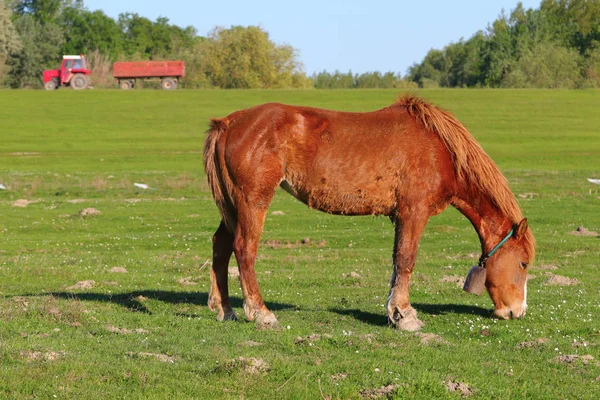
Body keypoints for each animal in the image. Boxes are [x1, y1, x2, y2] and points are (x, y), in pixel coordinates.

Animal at [204, 94, 536, 332]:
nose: (517, 312)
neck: (439, 150)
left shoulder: (400, 216)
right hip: (252, 201)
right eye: (523, 263)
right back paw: (260, 313)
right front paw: (405, 317)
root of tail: (228, 123)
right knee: (244, 249)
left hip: (232, 205)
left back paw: (225, 309)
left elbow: (397, 262)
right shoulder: (414, 212)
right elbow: (406, 260)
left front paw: (394, 312)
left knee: (221, 247)